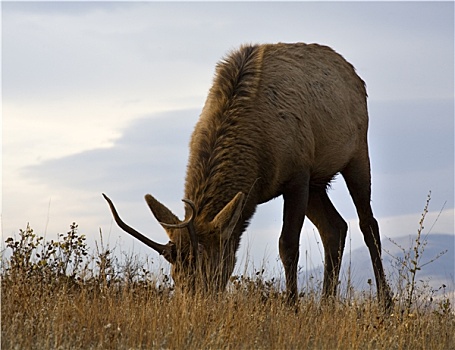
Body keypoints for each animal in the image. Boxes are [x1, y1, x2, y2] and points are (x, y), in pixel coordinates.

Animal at [102, 43, 392, 306]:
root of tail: (355, 76)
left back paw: (385, 302)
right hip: (317, 184)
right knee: (335, 228)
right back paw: (326, 305)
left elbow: (288, 245)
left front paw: (291, 307)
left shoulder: (297, 176)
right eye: (176, 275)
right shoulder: (301, 180)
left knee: (368, 224)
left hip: (356, 154)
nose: (193, 307)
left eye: (211, 269)